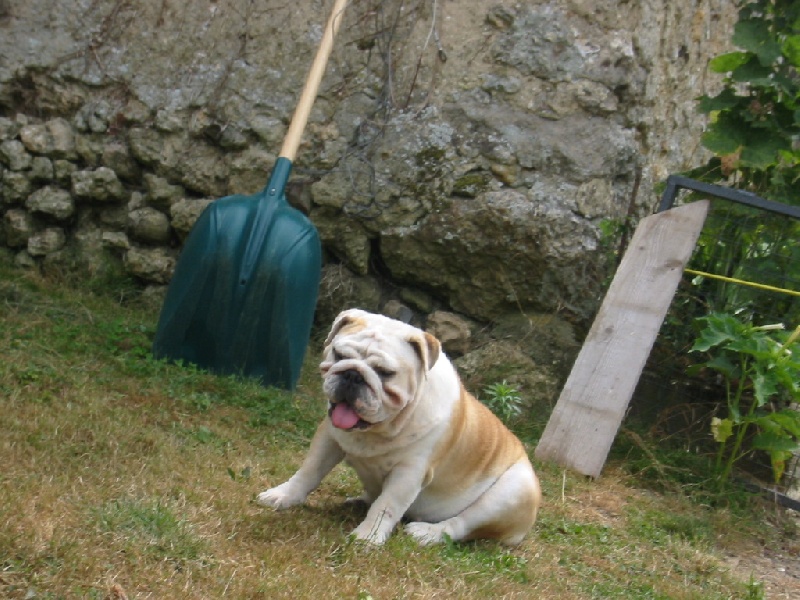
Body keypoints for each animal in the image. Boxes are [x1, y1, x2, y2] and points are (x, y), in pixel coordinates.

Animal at [257, 308, 541, 545]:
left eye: (385, 373)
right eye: (340, 355)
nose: (352, 375)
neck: (378, 429)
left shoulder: (409, 472)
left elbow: (387, 505)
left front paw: (368, 536)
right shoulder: (329, 439)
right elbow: (308, 472)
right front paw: (283, 496)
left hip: (513, 491)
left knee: (461, 524)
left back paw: (427, 532)